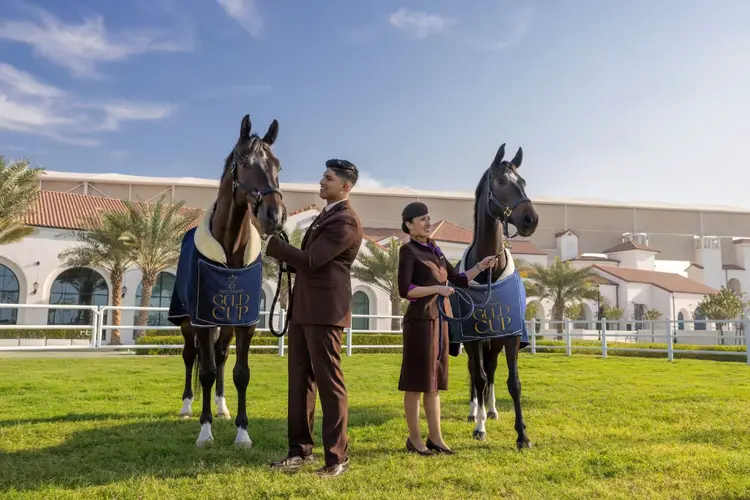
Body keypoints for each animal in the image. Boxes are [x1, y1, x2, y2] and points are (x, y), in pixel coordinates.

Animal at [169, 114, 287, 449]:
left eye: (278, 165)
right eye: (244, 162)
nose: (275, 215)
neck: (231, 250)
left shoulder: (244, 322)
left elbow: (240, 373)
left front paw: (242, 432)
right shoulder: (203, 320)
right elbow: (205, 372)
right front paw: (204, 431)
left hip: (227, 324)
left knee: (221, 357)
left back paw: (221, 406)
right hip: (187, 320)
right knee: (190, 356)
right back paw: (187, 406)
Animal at [456, 143, 539, 449]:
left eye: (523, 181)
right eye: (501, 181)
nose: (530, 219)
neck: (488, 271)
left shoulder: (510, 335)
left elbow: (513, 382)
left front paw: (522, 435)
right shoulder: (472, 338)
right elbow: (478, 377)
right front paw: (479, 427)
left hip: (494, 341)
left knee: (490, 370)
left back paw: (490, 410)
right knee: (476, 372)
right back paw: (475, 413)